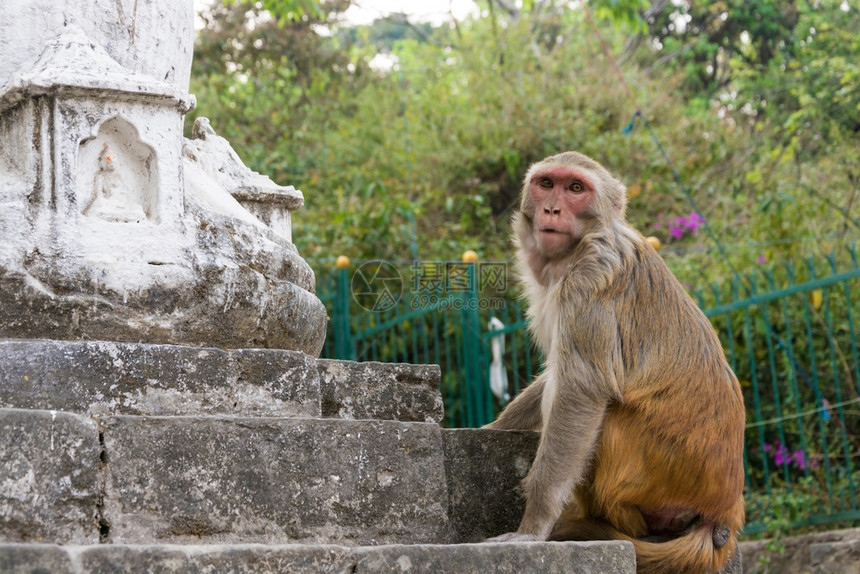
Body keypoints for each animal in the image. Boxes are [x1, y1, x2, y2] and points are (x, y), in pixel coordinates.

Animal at [484, 152, 744, 574]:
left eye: (575, 188)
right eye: (546, 184)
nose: (552, 209)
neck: (579, 248)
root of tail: (725, 510)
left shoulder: (589, 283)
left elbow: (580, 388)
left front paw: (533, 527)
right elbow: (557, 373)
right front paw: (493, 427)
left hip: (651, 469)